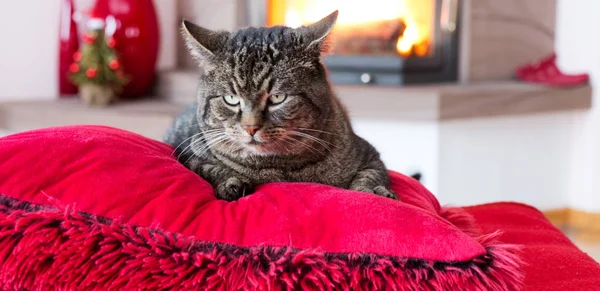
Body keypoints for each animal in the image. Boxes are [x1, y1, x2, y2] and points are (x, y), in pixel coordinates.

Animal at [164, 12, 398, 203]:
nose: (250, 127)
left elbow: (368, 176)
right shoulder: (187, 151)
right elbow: (207, 167)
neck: (279, 169)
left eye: (277, 97)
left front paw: (375, 192)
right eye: (231, 98)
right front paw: (230, 182)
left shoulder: (370, 156)